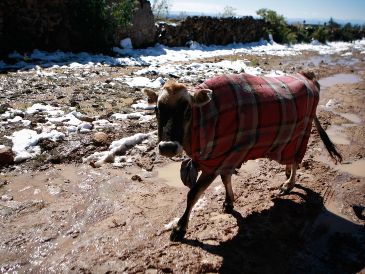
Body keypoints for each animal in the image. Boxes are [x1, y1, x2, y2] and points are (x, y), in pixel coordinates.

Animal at [143, 71, 342, 241]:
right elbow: (226, 179)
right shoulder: (226, 156)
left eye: (188, 111)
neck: (206, 119)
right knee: (290, 159)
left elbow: (193, 194)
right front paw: (229, 202)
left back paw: (288, 184)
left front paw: (180, 228)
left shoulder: (215, 162)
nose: (168, 147)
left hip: (302, 133)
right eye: (157, 110)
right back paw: (286, 174)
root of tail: (308, 76)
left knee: (296, 161)